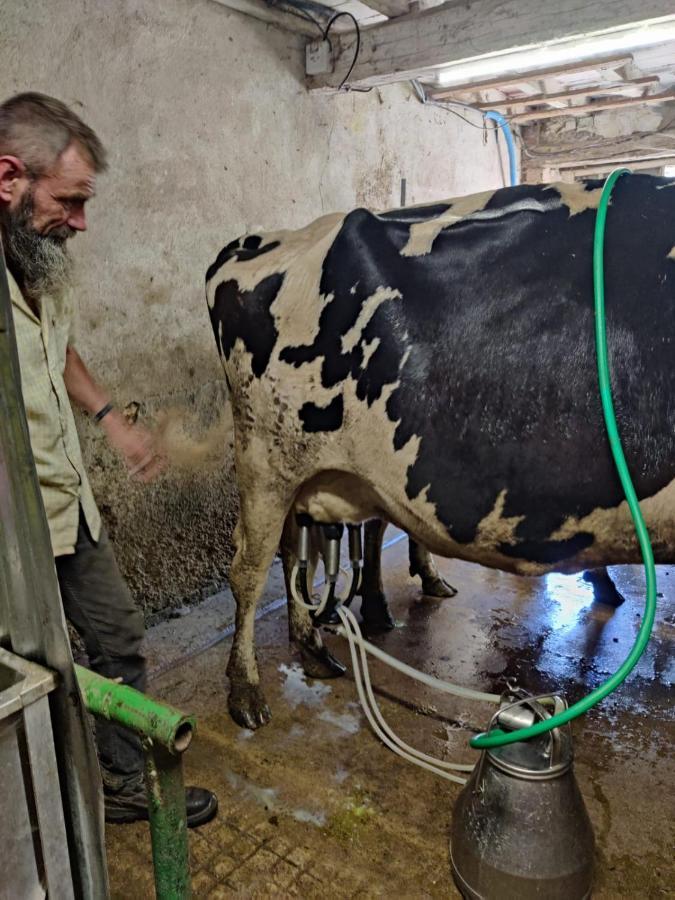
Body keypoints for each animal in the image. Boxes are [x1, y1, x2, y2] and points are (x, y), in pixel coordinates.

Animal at [206, 178, 675, 732]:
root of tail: (259, 240)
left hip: (312, 469)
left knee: (295, 551)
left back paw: (314, 645)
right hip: (266, 457)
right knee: (249, 569)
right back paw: (246, 690)